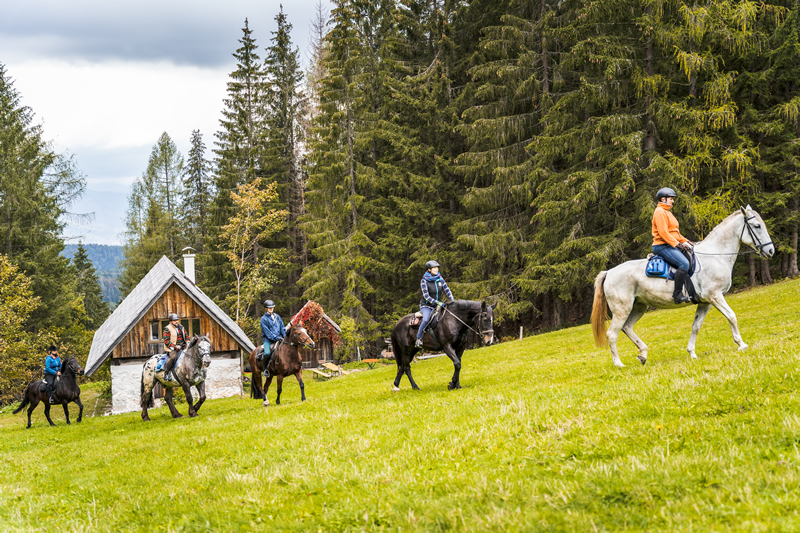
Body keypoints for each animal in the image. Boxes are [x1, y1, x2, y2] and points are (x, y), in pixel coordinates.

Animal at [592, 206, 772, 368]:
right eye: (757, 226)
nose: (770, 251)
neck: (715, 256)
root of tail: (609, 272)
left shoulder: (705, 302)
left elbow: (696, 326)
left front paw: (692, 353)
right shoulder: (715, 296)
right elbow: (732, 316)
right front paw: (741, 344)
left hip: (639, 307)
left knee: (627, 327)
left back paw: (643, 354)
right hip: (622, 309)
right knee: (612, 334)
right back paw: (618, 364)